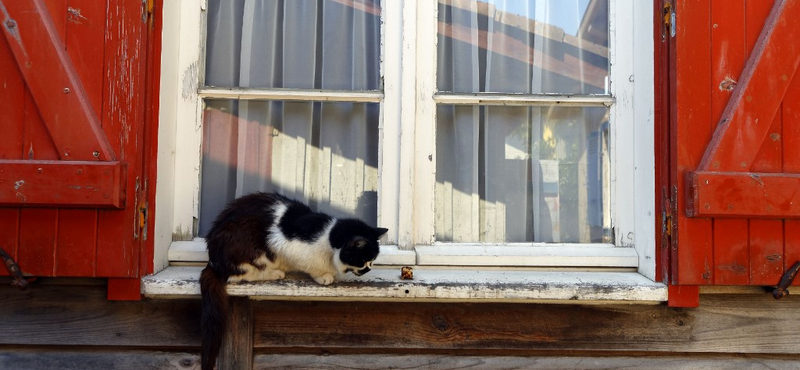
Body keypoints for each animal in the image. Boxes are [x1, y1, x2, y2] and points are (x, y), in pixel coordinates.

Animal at [200, 192, 388, 370]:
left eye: (372, 261)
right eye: (363, 261)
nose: (368, 269)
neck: (327, 238)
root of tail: (213, 261)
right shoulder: (286, 245)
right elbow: (310, 266)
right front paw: (323, 276)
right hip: (247, 245)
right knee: (237, 275)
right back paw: (274, 273)